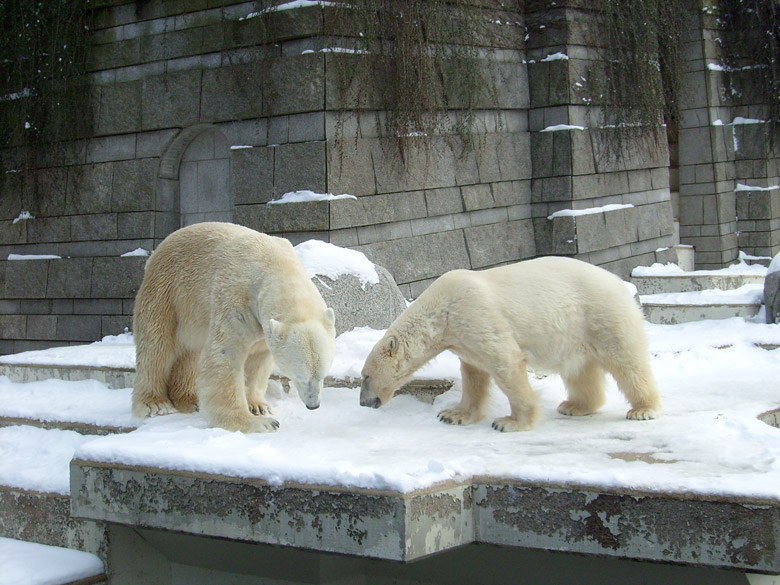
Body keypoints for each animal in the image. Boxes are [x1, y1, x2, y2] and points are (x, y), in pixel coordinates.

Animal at [132, 221, 338, 432]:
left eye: (323, 374)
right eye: (299, 375)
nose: (313, 405)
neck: (275, 264)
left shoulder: (261, 325)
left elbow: (259, 359)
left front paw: (258, 406)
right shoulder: (235, 298)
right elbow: (224, 355)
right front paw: (258, 423)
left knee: (190, 351)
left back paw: (190, 399)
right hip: (168, 291)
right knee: (157, 346)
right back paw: (156, 403)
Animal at [360, 258, 660, 432]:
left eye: (366, 376)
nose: (364, 402)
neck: (442, 311)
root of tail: (618, 282)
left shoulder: (476, 314)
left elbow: (504, 362)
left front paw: (510, 422)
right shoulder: (462, 338)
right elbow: (473, 375)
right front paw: (453, 414)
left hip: (600, 314)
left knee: (626, 361)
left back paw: (643, 409)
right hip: (576, 333)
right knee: (579, 371)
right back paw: (575, 405)